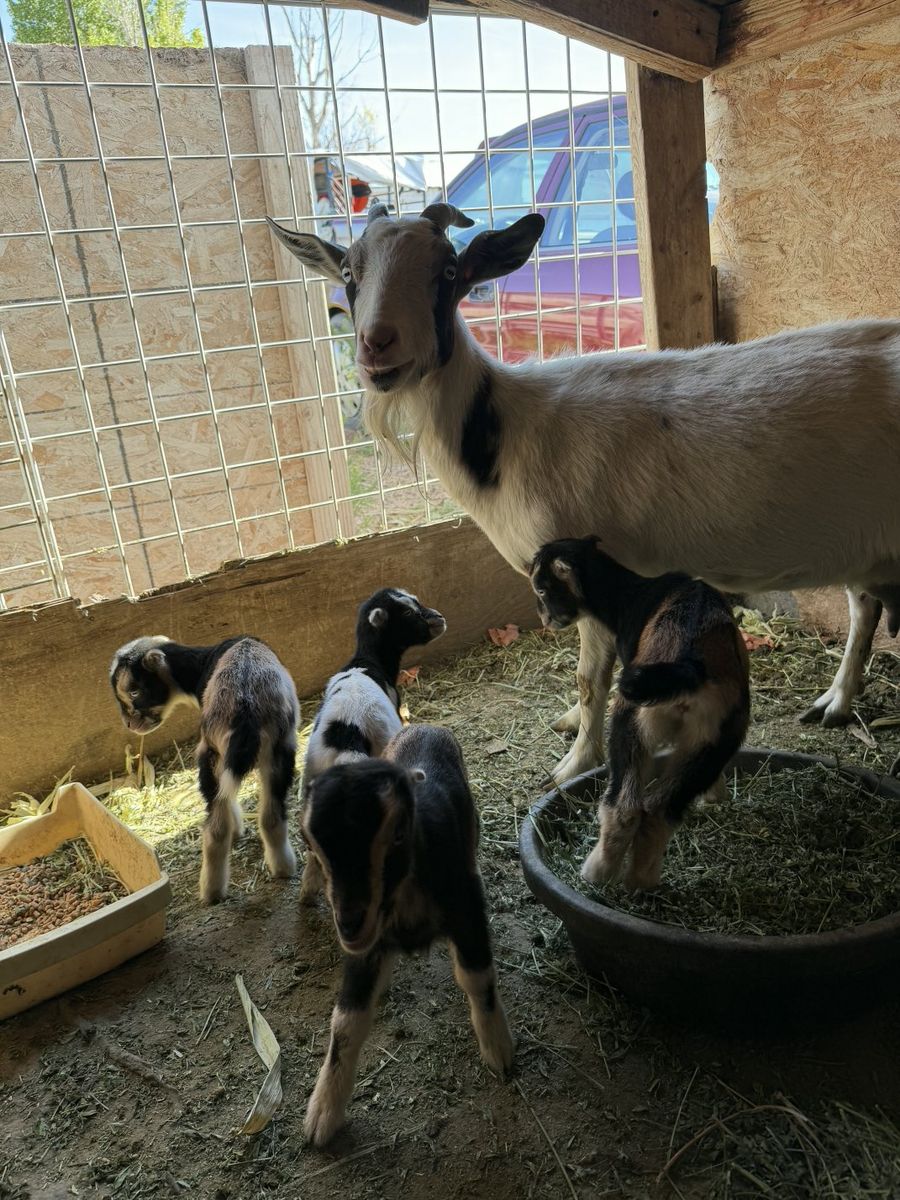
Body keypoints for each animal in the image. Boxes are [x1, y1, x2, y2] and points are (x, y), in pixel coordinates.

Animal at [110, 635, 298, 904]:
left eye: (135, 691)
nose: (128, 724)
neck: (199, 663)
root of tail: (246, 703)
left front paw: (237, 829)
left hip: (210, 754)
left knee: (216, 827)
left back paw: (211, 892)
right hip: (279, 750)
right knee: (271, 815)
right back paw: (283, 870)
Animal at [267, 203, 900, 784]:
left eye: (447, 270)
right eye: (348, 270)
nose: (377, 346)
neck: (503, 433)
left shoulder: (585, 570)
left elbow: (590, 676)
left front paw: (574, 762)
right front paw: (572, 724)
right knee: (862, 605)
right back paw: (835, 702)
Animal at [301, 724, 513, 1147]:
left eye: (398, 835)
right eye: (310, 843)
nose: (348, 923)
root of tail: (425, 725)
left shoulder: (466, 905)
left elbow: (477, 978)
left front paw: (498, 1048)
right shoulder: (366, 946)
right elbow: (346, 1022)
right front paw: (323, 1113)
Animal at [532, 538, 750, 889]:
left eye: (541, 588)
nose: (544, 620)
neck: (628, 593)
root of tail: (689, 666)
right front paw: (715, 796)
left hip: (630, 720)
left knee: (625, 808)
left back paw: (596, 874)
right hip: (714, 738)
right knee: (662, 810)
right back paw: (641, 881)